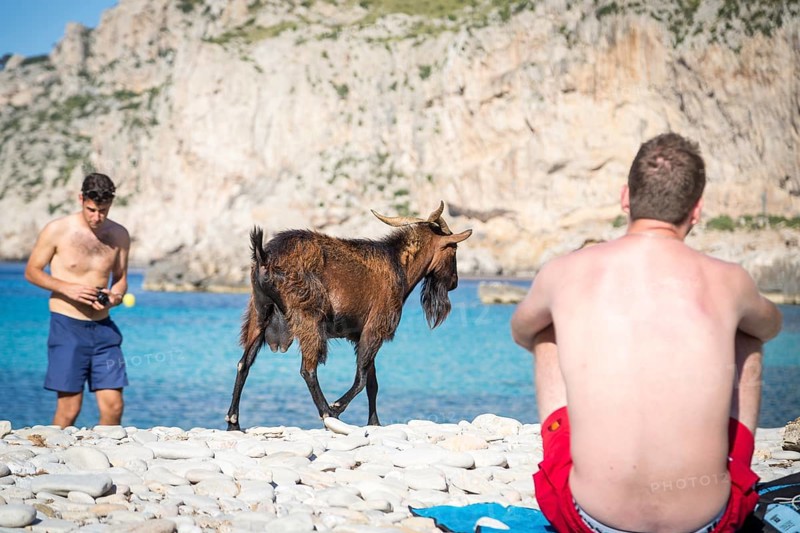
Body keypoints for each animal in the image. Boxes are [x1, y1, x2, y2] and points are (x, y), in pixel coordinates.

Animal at [225, 202, 472, 429]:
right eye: (454, 250)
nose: (455, 282)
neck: (399, 265)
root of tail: (265, 257)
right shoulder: (375, 327)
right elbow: (362, 378)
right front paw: (337, 407)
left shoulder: (361, 334)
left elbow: (372, 383)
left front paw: (374, 422)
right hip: (309, 317)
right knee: (308, 369)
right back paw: (326, 413)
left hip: (259, 313)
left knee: (243, 364)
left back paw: (233, 421)